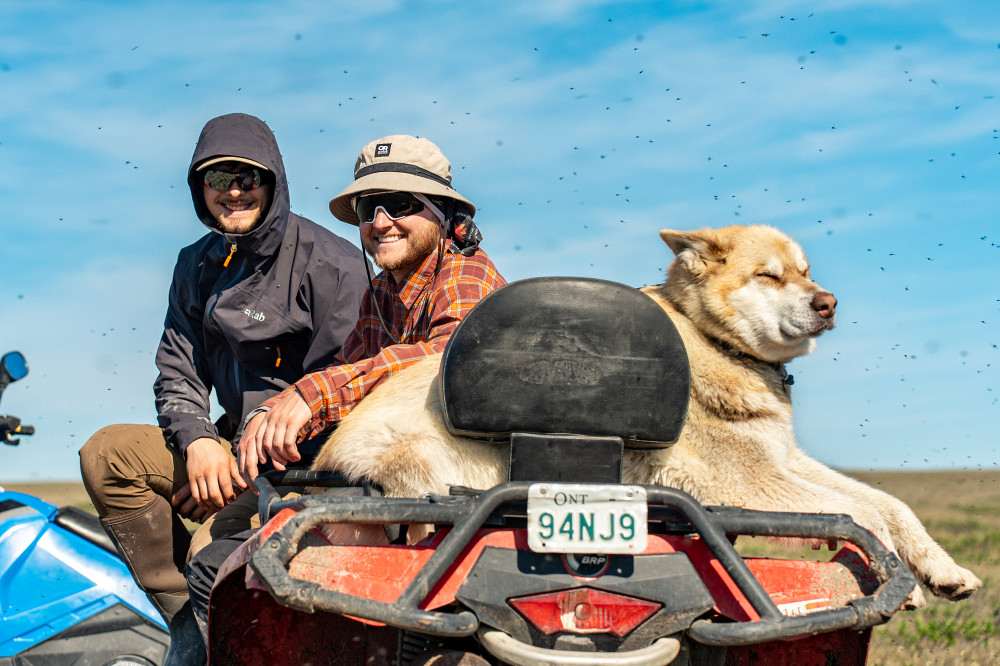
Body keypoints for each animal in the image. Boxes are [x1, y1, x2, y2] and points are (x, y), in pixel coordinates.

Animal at [314, 226, 984, 604]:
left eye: (806, 271)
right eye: (769, 276)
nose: (830, 303)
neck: (714, 341)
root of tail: (331, 455)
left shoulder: (784, 461)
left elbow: (890, 504)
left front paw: (945, 572)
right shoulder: (748, 482)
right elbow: (860, 513)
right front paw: (897, 583)